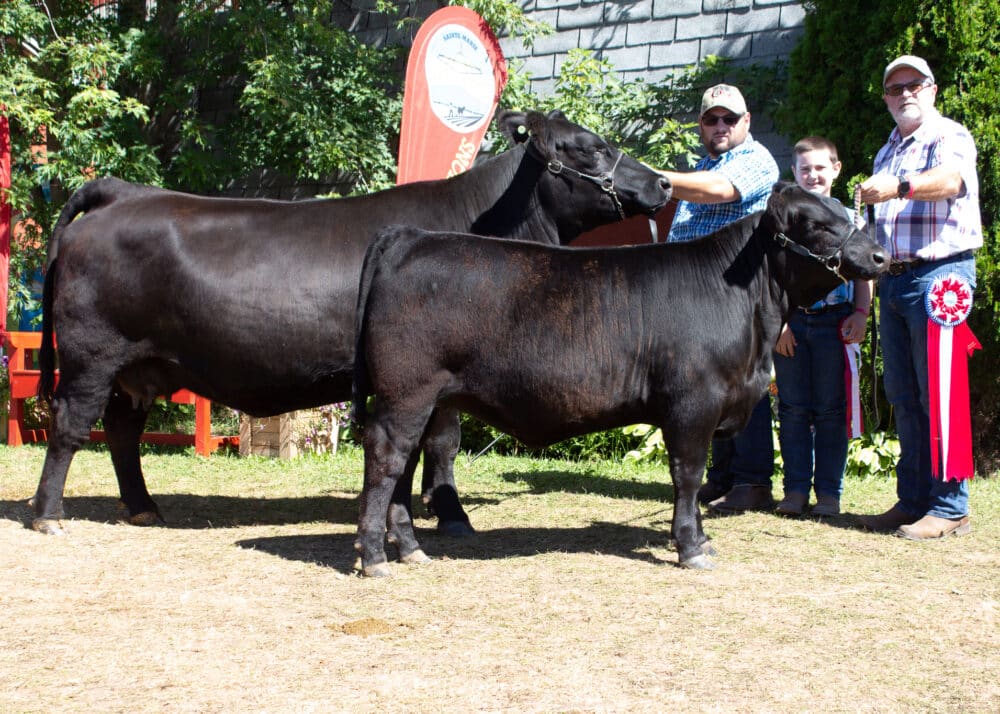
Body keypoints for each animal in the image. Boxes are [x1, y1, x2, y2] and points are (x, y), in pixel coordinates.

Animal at [29, 110, 671, 536]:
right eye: (588, 147)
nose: (664, 181)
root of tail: (121, 192)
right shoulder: (436, 372)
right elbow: (441, 443)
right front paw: (449, 517)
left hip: (138, 367)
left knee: (120, 429)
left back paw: (142, 507)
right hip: (92, 355)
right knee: (70, 424)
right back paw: (49, 515)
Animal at [351, 183, 889, 576]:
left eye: (845, 209)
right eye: (817, 224)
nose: (881, 257)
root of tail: (410, 237)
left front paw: (700, 538)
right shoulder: (693, 404)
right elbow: (688, 474)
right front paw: (690, 547)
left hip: (422, 400)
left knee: (404, 465)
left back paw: (410, 548)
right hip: (407, 393)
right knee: (386, 457)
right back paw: (375, 556)